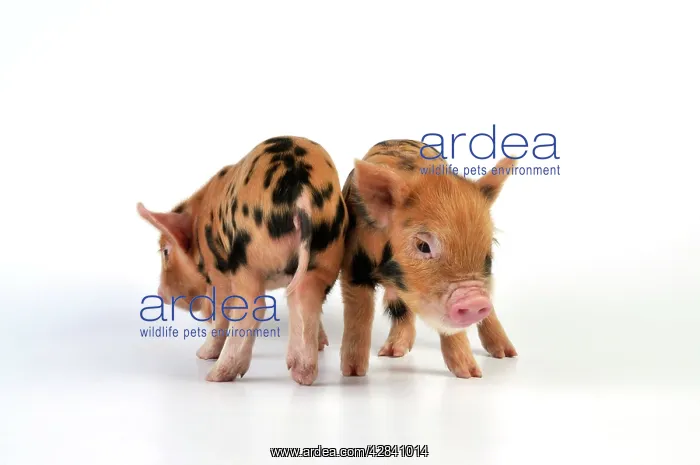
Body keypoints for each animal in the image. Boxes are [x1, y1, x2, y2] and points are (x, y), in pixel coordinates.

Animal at [137, 136, 349, 385]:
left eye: (165, 252)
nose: (160, 293)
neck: (199, 220)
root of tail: (300, 191)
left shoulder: (216, 270)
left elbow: (220, 311)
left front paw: (202, 354)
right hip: (325, 255)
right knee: (305, 300)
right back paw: (302, 375)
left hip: (245, 260)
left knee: (254, 307)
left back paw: (214, 374)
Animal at [339, 139, 517, 379]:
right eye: (423, 246)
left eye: (489, 248)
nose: (475, 301)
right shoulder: (353, 266)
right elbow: (358, 314)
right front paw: (353, 373)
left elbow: (452, 329)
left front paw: (470, 375)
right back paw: (392, 353)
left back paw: (507, 355)